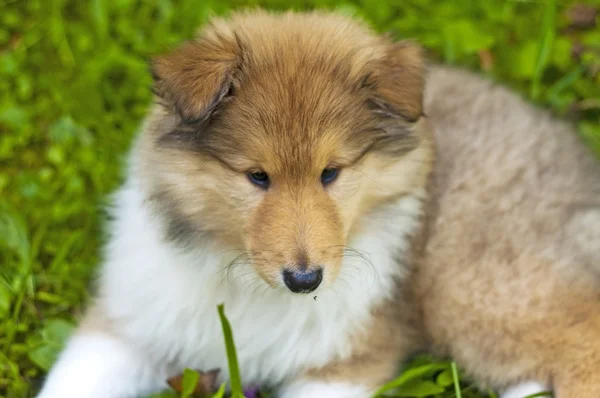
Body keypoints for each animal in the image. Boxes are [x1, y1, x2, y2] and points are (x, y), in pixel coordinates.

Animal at [38, 9, 600, 398]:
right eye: (257, 176)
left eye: (331, 173)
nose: (304, 280)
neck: (243, 277)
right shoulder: (130, 320)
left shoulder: (345, 360)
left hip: (480, 283)